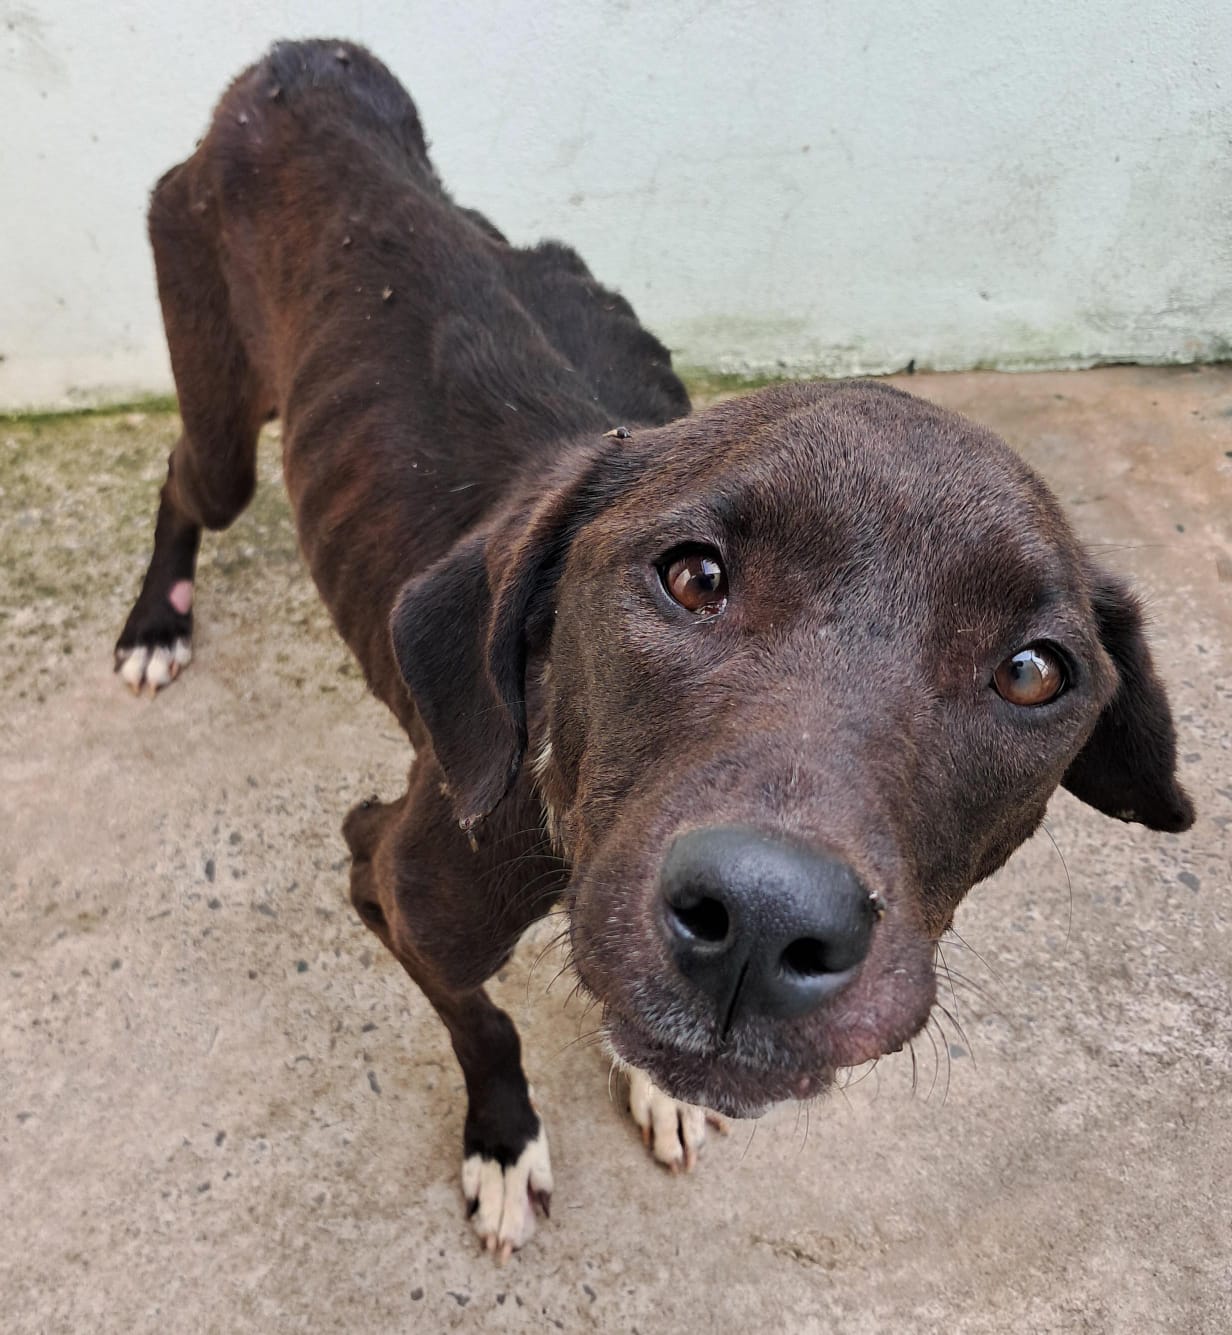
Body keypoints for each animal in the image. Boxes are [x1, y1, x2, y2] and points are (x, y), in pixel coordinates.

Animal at [116, 40, 1194, 1259]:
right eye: (693, 577)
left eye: (1031, 672)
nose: (765, 926)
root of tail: (301, 72)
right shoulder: (383, 882)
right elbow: (485, 1024)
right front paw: (503, 1140)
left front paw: (656, 1085)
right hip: (219, 416)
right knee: (181, 478)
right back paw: (156, 624)